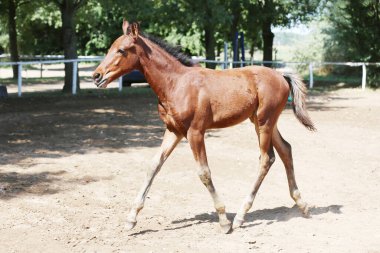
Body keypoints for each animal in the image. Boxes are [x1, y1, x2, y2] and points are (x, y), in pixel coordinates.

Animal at [93, 21, 318, 233]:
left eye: (122, 50)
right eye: (110, 48)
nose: (97, 76)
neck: (175, 83)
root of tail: (281, 76)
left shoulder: (195, 132)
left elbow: (204, 173)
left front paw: (223, 220)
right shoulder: (174, 131)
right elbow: (154, 166)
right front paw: (131, 218)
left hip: (264, 122)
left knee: (266, 158)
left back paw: (240, 216)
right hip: (263, 121)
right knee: (285, 149)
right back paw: (302, 205)